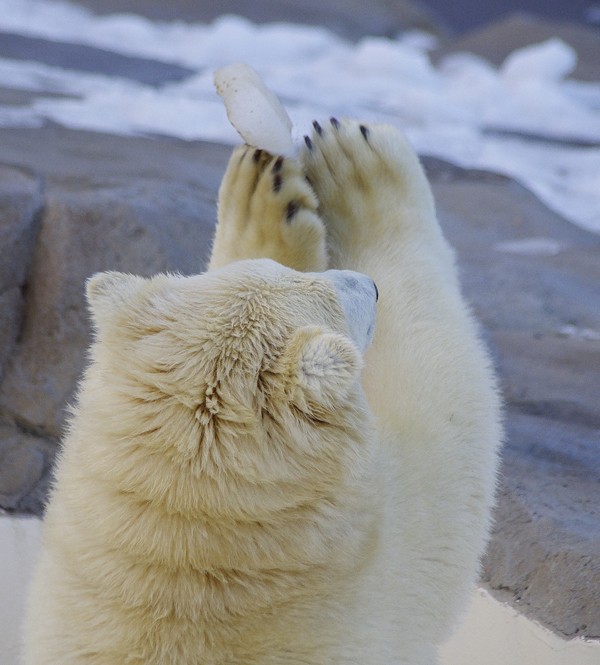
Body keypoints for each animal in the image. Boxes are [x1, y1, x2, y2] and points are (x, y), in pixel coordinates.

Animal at [24, 120, 502, 664]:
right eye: (334, 301)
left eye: (290, 273)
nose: (368, 284)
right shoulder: (372, 591)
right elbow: (445, 420)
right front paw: (356, 158)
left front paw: (266, 191)